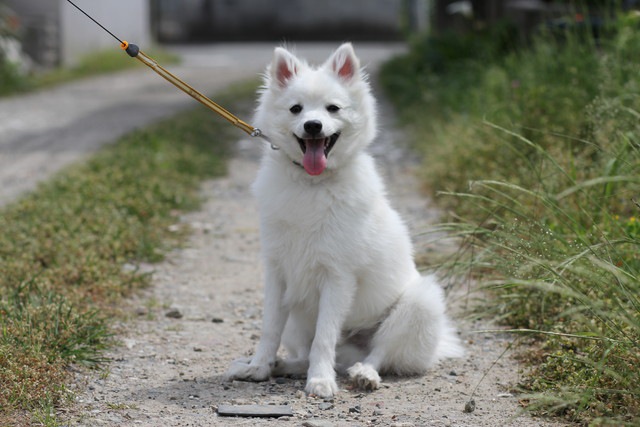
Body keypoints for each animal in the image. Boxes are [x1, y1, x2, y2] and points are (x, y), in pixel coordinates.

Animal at [228, 42, 462, 398]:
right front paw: (259, 366)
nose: (313, 125)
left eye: (333, 109)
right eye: (296, 109)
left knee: (379, 353)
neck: (311, 184)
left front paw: (320, 380)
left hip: (420, 303)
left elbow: (324, 338)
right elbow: (269, 329)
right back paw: (285, 366)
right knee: (317, 353)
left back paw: (364, 373)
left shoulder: (337, 277)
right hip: (298, 319)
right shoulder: (278, 274)